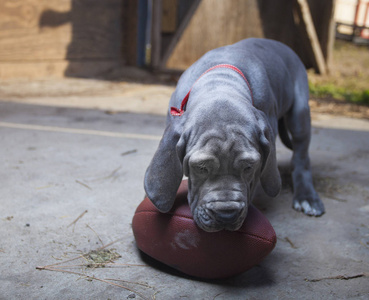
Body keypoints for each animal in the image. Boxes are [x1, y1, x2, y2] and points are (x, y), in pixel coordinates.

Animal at [142, 38, 324, 232]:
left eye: (249, 167)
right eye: (201, 167)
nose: (226, 216)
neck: (221, 82)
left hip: (300, 113)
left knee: (301, 156)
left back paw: (307, 198)